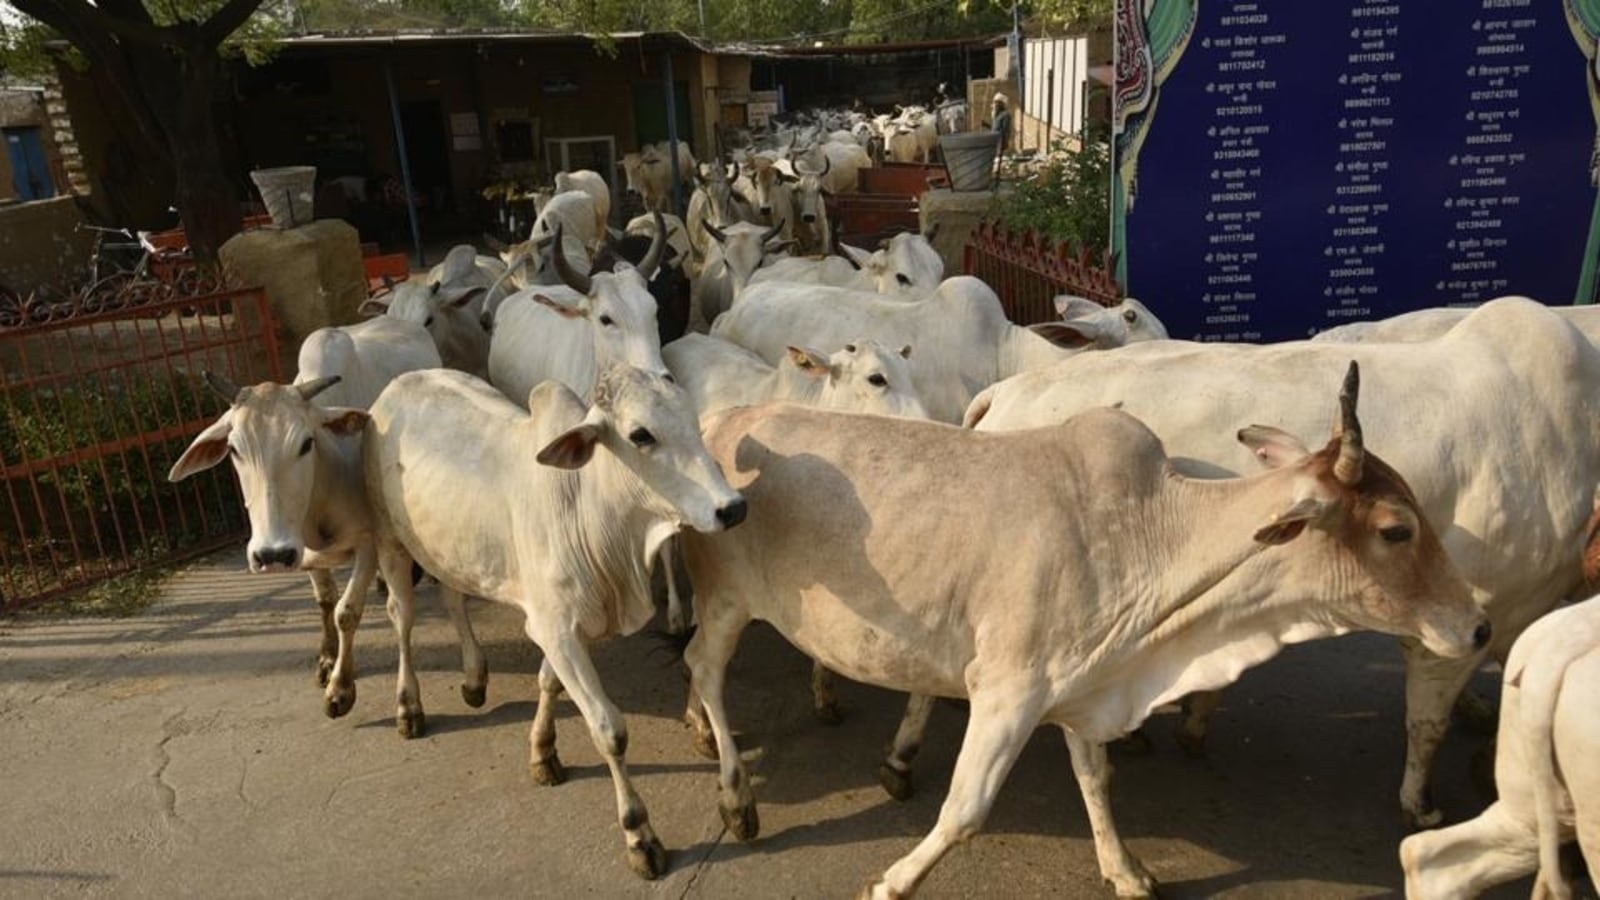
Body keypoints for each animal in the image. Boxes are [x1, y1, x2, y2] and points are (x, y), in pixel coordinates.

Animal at [168, 315, 483, 714]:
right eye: (234, 449)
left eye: (306, 443)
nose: (270, 554)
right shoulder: (304, 554)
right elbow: (325, 601)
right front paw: (328, 659)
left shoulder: (367, 543)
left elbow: (347, 611)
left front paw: (341, 688)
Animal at [678, 365, 1484, 896]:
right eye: (1395, 529)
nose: (1477, 627)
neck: (1150, 537)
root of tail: (719, 423)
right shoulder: (1005, 691)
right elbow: (964, 812)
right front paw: (893, 882)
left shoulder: (1082, 684)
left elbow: (1097, 780)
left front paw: (1124, 870)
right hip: (725, 601)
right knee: (705, 669)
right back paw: (733, 794)